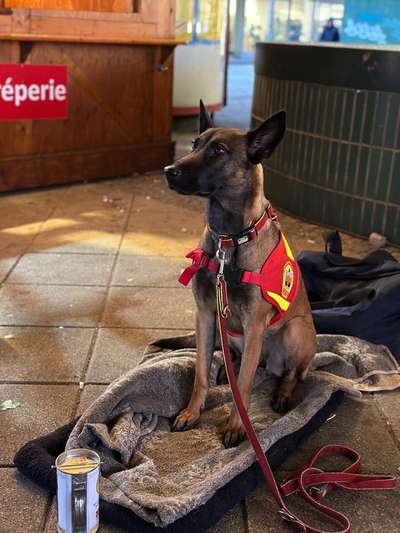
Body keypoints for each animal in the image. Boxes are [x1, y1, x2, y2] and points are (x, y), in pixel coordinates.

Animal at [162, 102, 316, 446]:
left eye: (218, 151)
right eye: (195, 144)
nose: (168, 170)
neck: (229, 239)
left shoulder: (254, 325)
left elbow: (243, 387)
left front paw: (236, 426)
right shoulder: (205, 315)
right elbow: (201, 374)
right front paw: (191, 412)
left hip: (295, 332)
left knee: (292, 373)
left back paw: (282, 394)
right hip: (228, 333)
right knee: (230, 359)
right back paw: (225, 368)